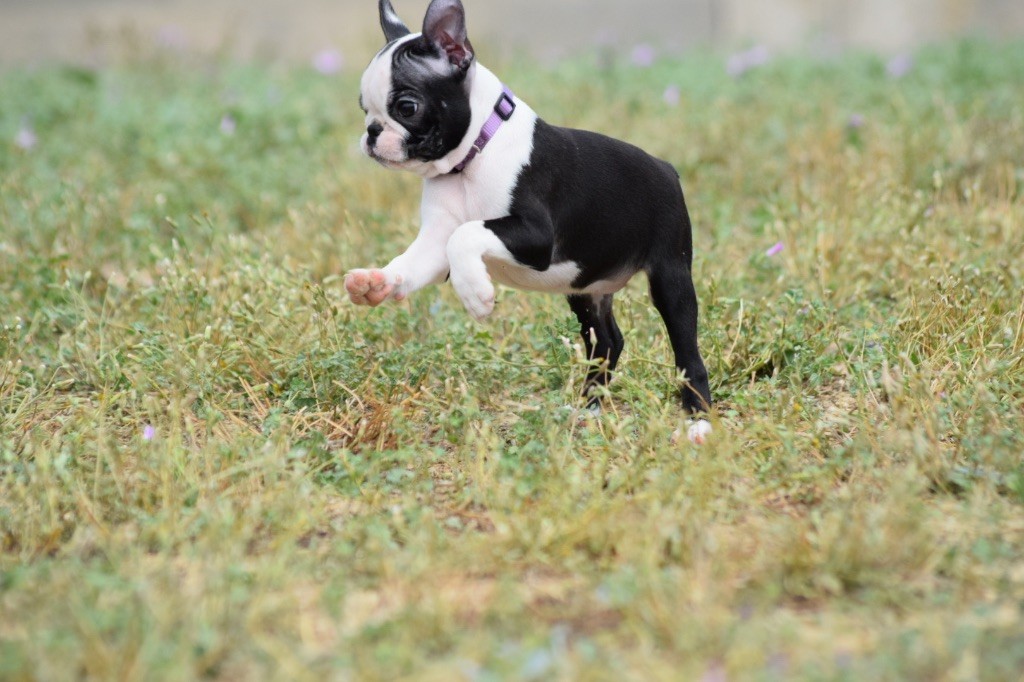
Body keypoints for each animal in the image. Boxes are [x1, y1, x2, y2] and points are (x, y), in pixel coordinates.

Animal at [344, 0, 713, 444]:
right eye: (365, 109)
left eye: (406, 107)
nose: (371, 132)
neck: (471, 159)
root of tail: (667, 169)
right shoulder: (435, 241)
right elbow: (416, 261)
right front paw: (376, 282)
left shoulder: (536, 237)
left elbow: (466, 233)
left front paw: (476, 295)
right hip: (585, 288)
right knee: (607, 342)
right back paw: (588, 409)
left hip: (670, 275)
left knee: (686, 350)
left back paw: (698, 420)